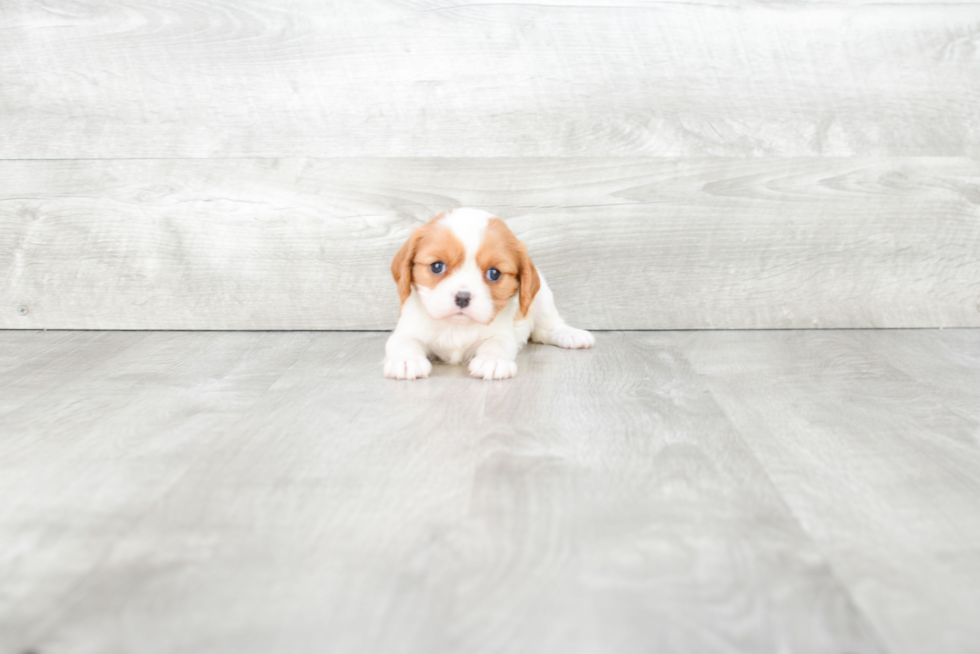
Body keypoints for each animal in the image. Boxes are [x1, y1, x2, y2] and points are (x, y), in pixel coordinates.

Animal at [386, 210, 592, 382]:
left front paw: (492, 361)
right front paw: (407, 360)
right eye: (437, 266)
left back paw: (571, 334)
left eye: (494, 273)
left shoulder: (502, 334)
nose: (462, 297)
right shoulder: (406, 330)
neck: (456, 327)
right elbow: (404, 342)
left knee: (548, 327)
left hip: (543, 299)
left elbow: (496, 344)